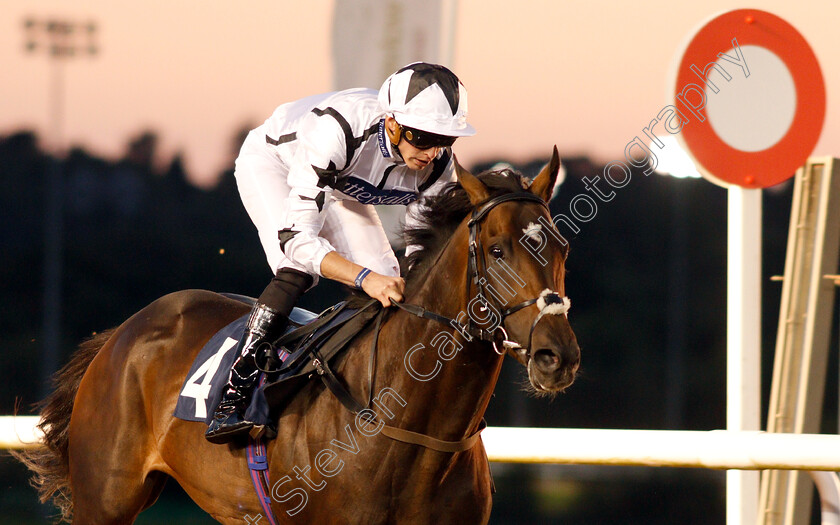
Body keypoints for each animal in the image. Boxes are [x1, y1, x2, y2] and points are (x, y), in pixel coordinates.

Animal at [18, 148, 576, 524]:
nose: (558, 356)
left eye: (562, 246)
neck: (414, 431)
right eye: (498, 250)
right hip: (104, 500)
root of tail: (119, 334)